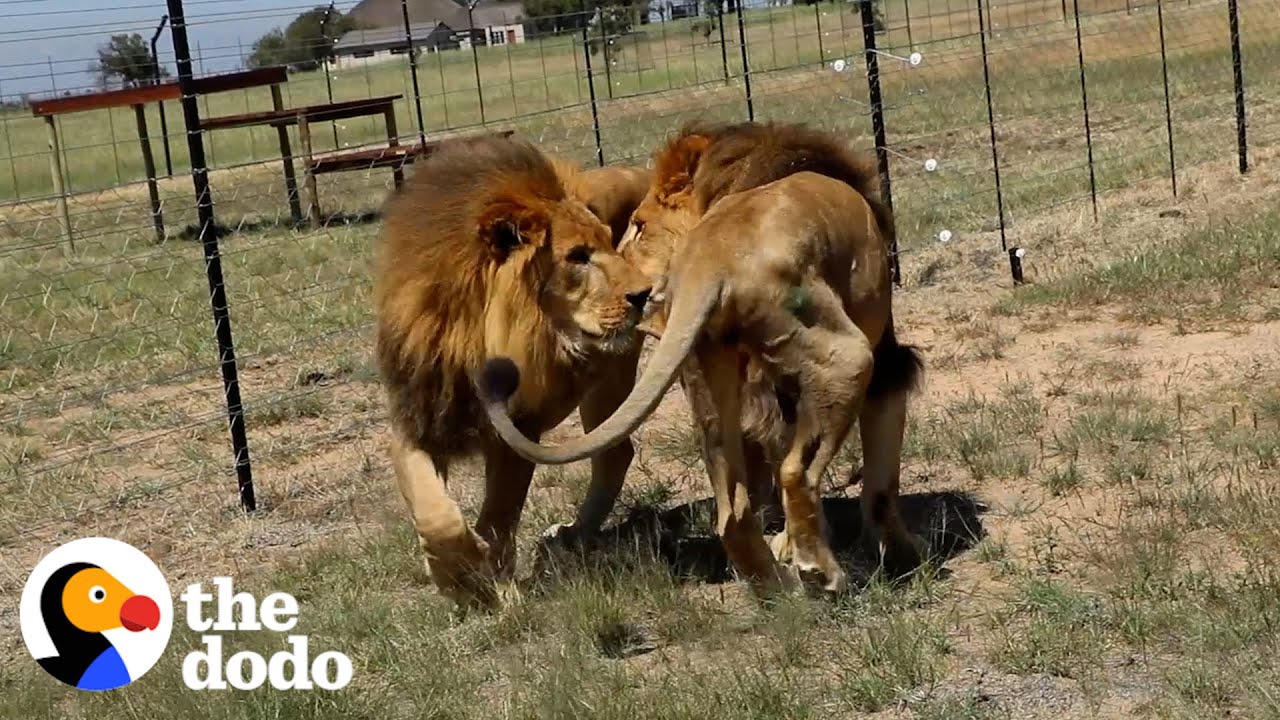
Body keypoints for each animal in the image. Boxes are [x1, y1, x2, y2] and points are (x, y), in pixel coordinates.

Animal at [371, 131, 650, 607]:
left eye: (611, 243)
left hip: (611, 379)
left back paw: (573, 536)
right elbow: (435, 514)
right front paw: (455, 577)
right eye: (578, 256)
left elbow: (499, 518)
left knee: (615, 452)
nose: (645, 293)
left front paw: (494, 587)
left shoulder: (520, 430)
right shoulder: (418, 420)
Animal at [476, 121, 926, 594]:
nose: (631, 290)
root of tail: (710, 266)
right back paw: (820, 572)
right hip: (849, 358)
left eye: (638, 227)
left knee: (733, 512)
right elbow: (880, 486)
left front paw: (786, 542)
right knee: (794, 473)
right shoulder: (887, 363)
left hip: (707, 377)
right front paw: (901, 554)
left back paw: (778, 589)